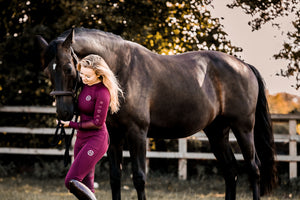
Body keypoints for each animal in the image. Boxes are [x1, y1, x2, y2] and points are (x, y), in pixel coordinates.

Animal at [37, 27, 276, 199]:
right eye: (48, 71)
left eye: (69, 68)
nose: (64, 112)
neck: (121, 70)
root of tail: (244, 66)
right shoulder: (115, 136)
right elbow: (115, 178)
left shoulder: (138, 133)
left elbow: (139, 178)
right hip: (217, 132)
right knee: (231, 171)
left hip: (243, 128)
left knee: (253, 168)